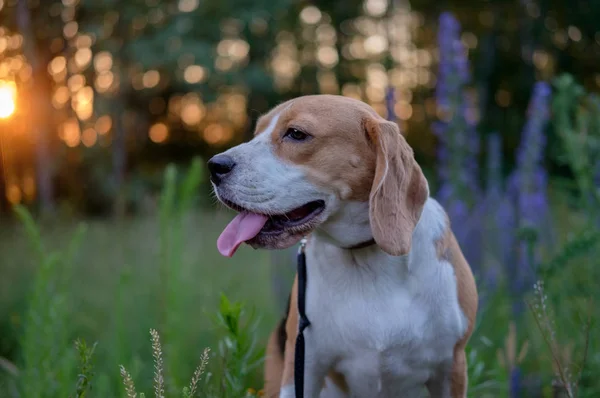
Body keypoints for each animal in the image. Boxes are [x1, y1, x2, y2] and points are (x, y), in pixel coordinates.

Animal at [210, 95, 478, 396]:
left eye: (296, 134)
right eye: (257, 133)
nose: (214, 166)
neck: (365, 256)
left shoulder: (451, 367)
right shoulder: (303, 365)